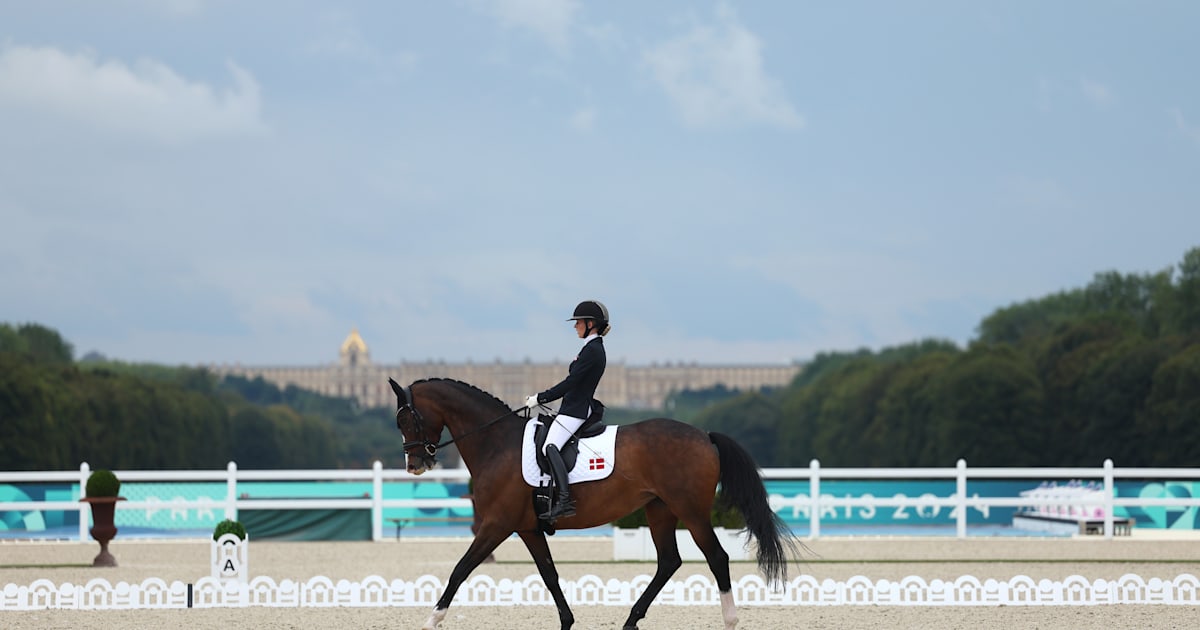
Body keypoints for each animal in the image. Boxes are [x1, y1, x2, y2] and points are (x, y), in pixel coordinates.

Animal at [391, 376, 796, 624]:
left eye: (407, 420)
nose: (415, 465)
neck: (497, 443)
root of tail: (704, 435)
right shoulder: (527, 528)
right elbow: (549, 574)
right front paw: (567, 622)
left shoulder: (497, 524)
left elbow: (460, 569)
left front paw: (431, 620)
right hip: (659, 510)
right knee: (669, 561)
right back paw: (631, 620)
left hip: (691, 511)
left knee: (716, 557)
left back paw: (729, 620)